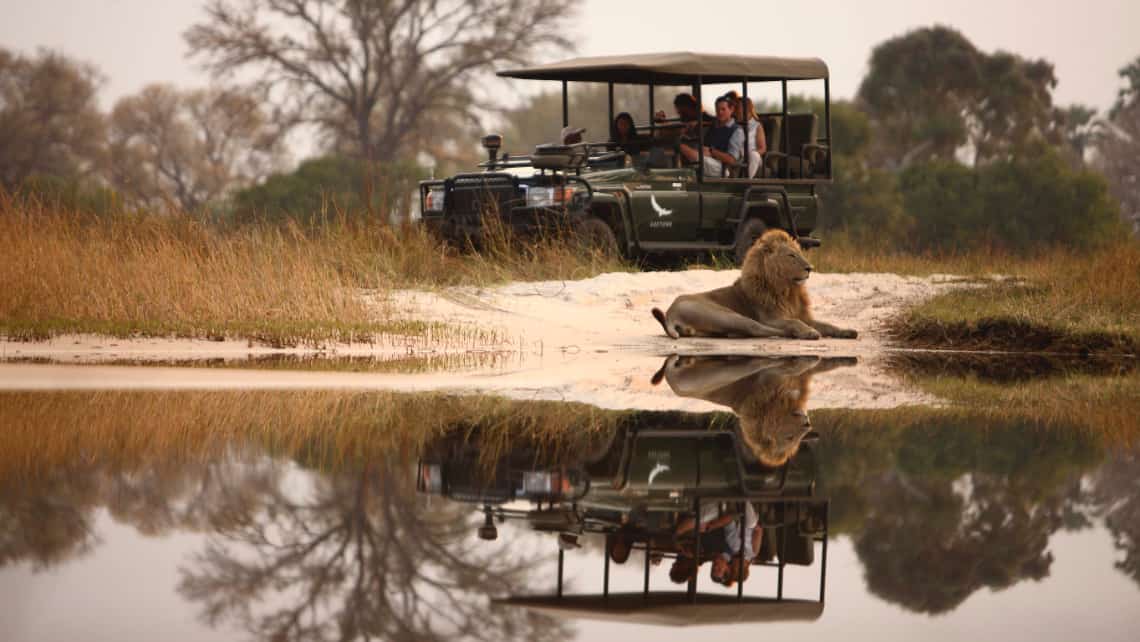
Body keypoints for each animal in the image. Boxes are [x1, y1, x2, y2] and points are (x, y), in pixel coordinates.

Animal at [652, 230, 857, 342]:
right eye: (791, 255)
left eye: (800, 253)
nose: (810, 268)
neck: (787, 290)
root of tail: (670, 312)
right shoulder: (772, 317)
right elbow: (794, 322)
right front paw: (809, 331)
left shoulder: (802, 314)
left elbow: (828, 324)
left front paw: (848, 331)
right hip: (728, 316)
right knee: (759, 328)